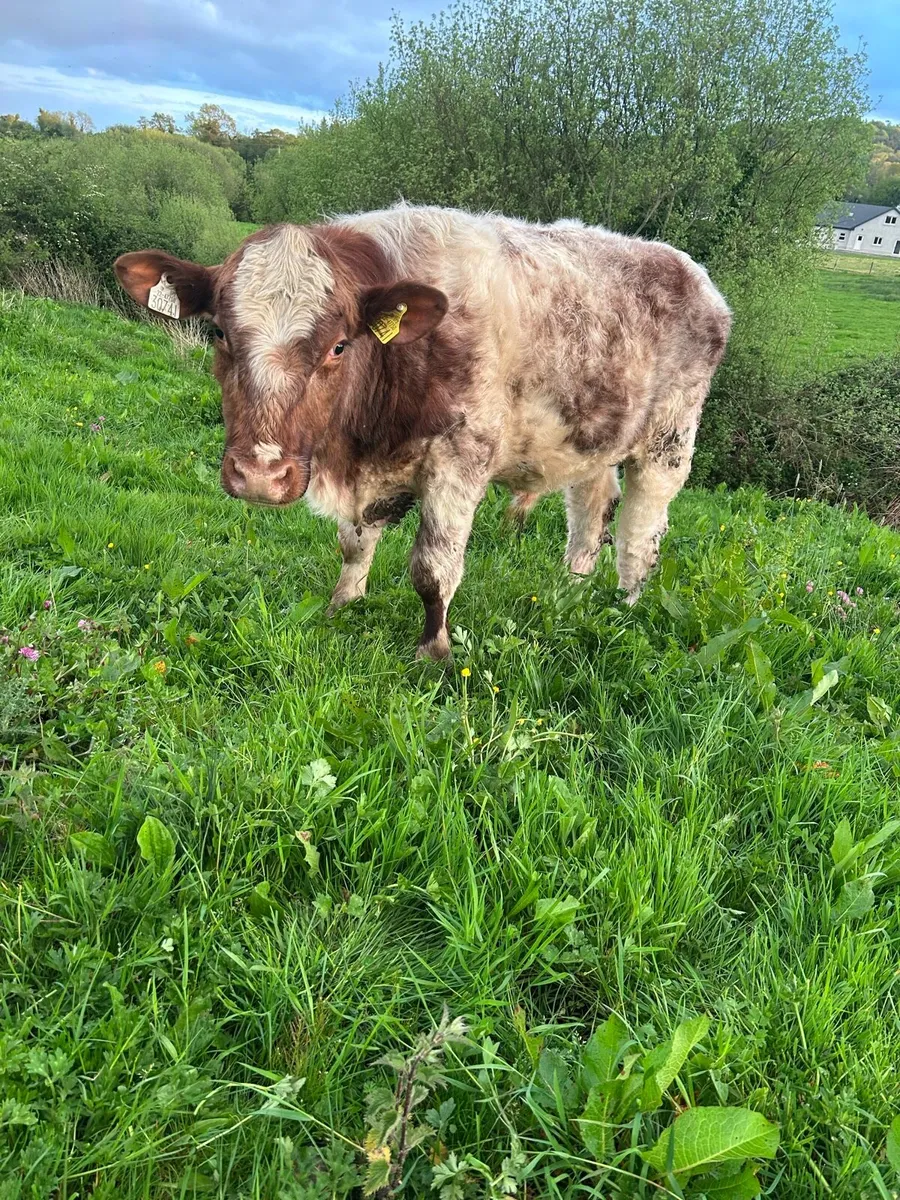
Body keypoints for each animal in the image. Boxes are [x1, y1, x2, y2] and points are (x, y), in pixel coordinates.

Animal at [115, 205, 731, 659]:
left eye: (339, 346)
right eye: (219, 332)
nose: (262, 475)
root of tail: (693, 273)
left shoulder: (460, 461)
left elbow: (433, 569)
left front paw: (434, 651)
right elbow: (354, 543)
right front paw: (342, 605)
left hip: (668, 443)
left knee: (639, 536)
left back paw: (623, 608)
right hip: (591, 443)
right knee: (590, 518)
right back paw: (568, 594)